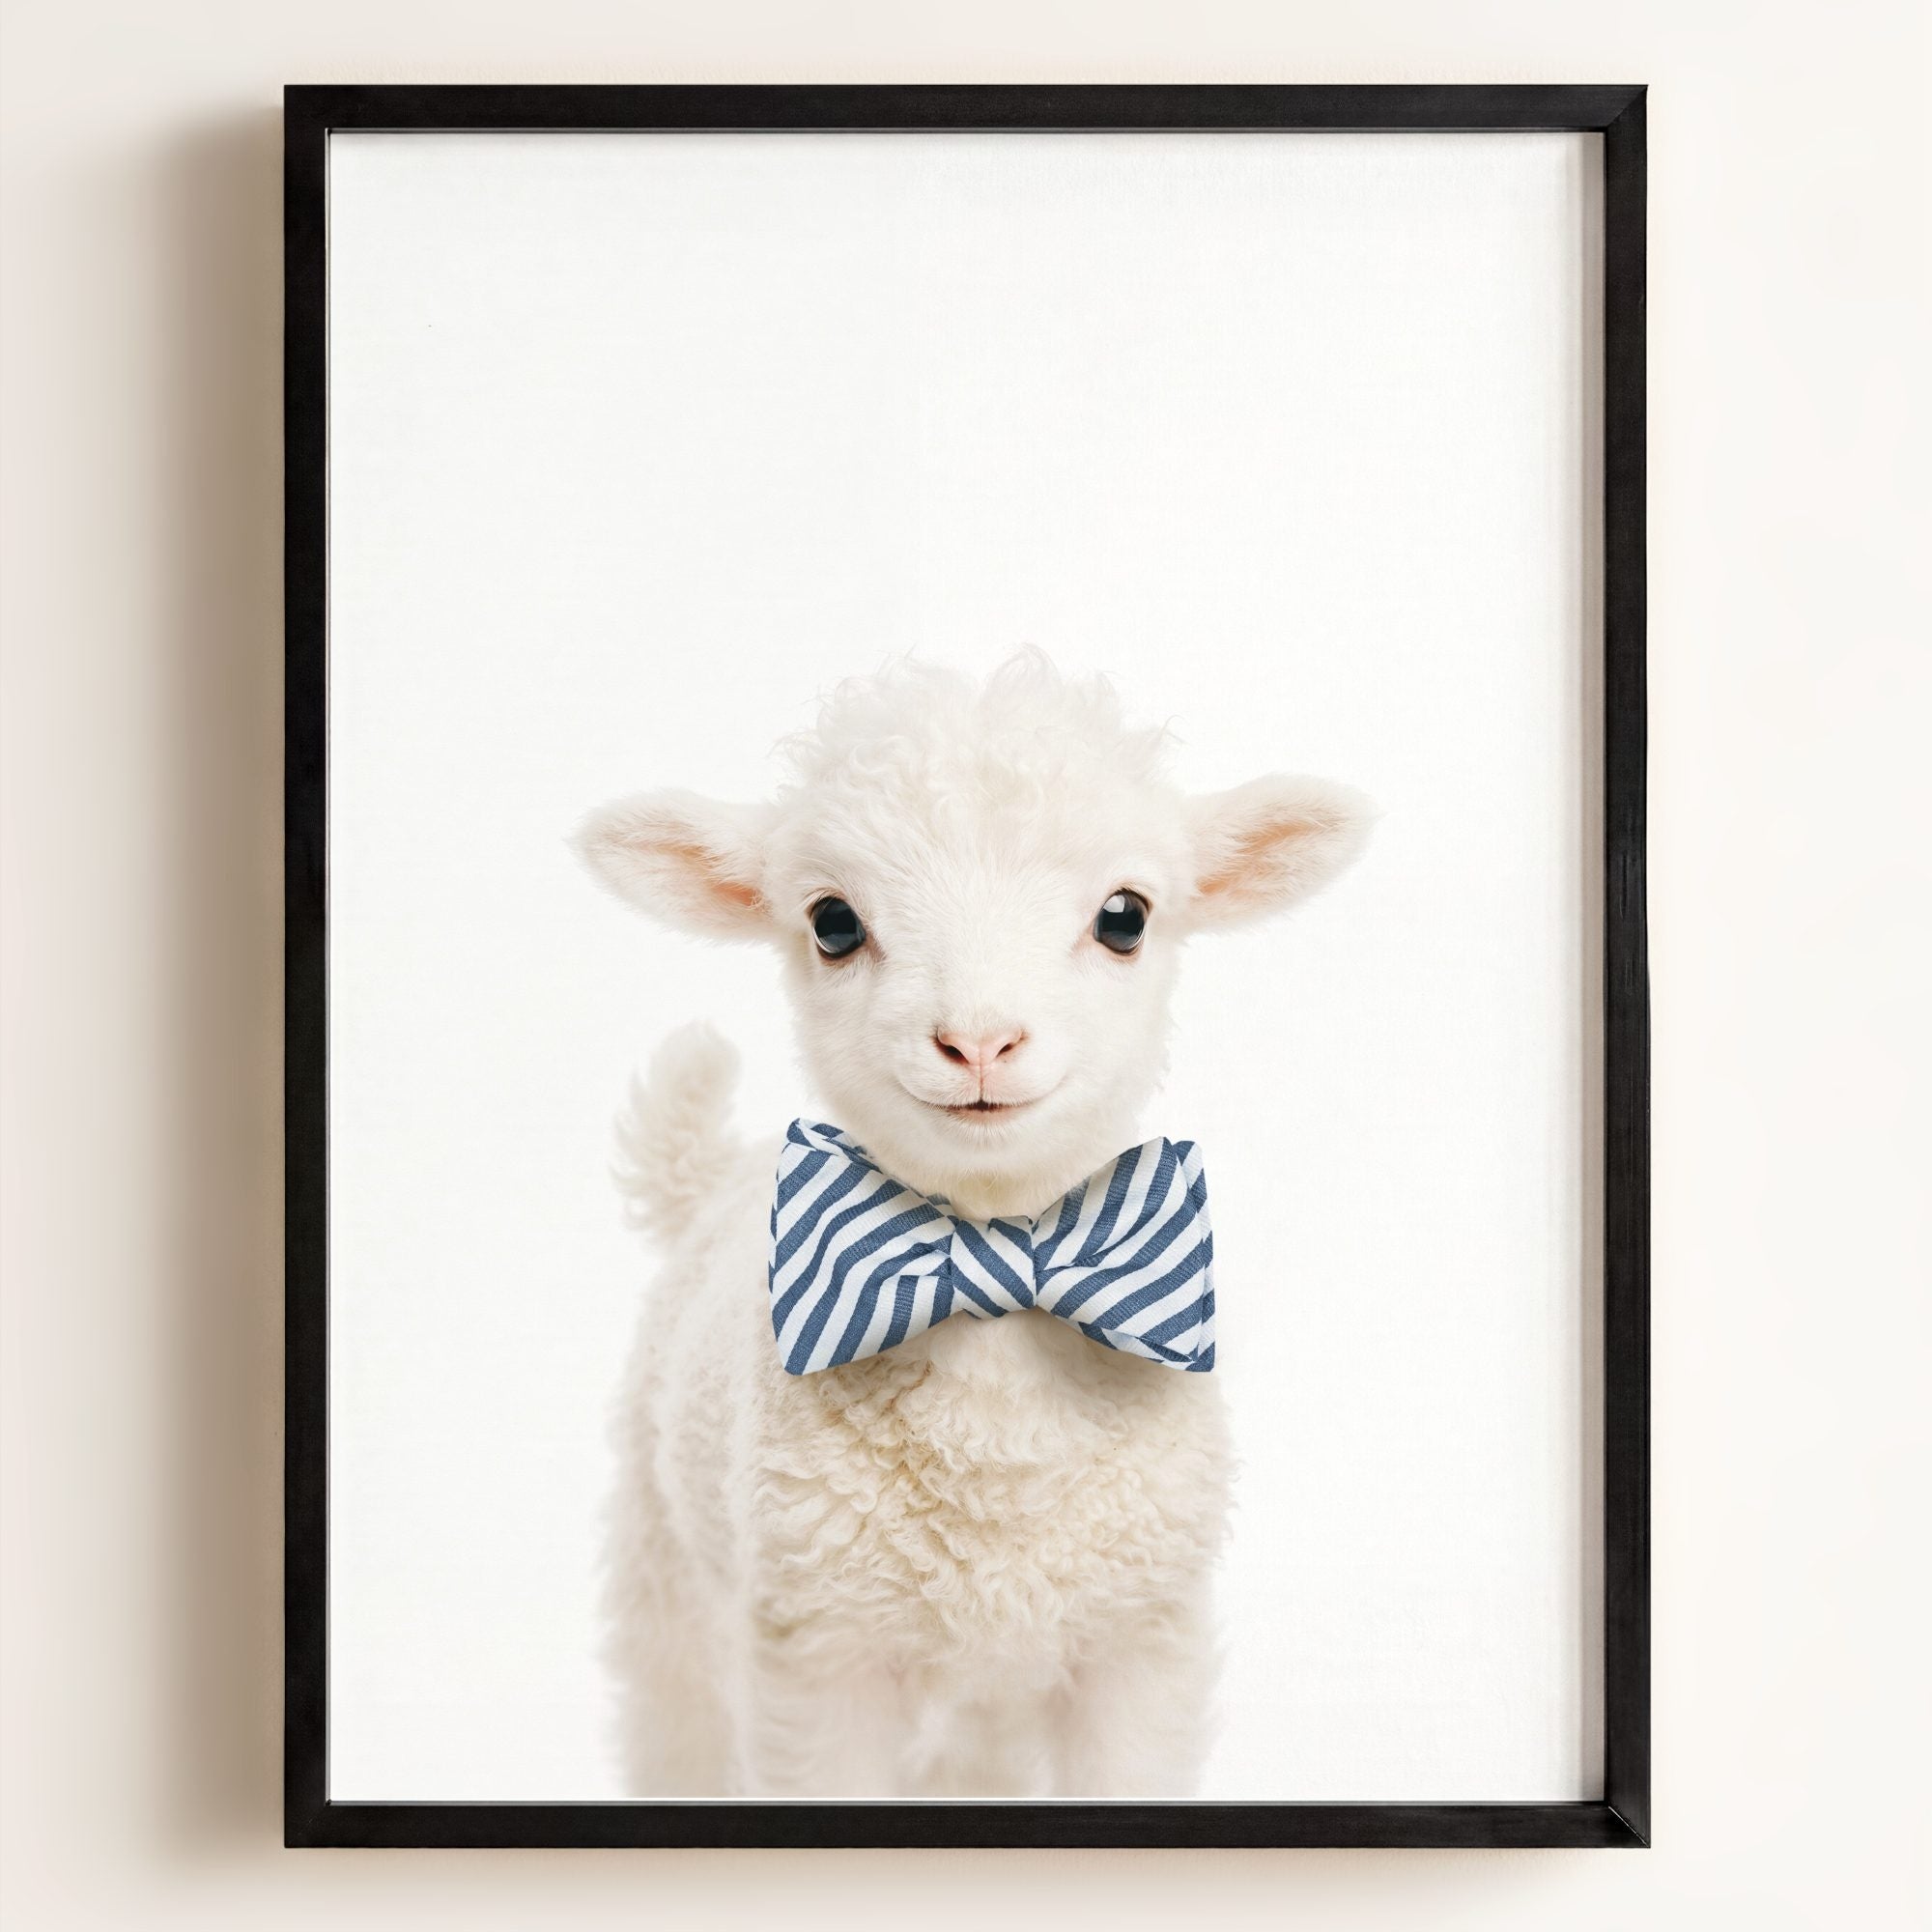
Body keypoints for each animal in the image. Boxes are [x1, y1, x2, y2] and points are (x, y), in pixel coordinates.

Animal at [573, 651, 1373, 1797]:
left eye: (1125, 915)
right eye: (831, 922)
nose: (980, 1039)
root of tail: (712, 1176)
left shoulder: (1140, 1643)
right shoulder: (817, 1654)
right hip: (668, 1572)